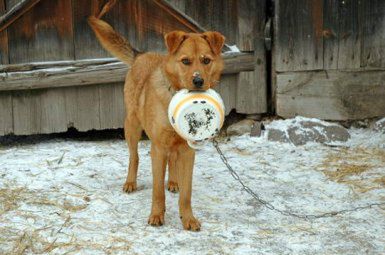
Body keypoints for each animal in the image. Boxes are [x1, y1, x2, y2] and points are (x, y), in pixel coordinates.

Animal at [88, 13, 224, 231]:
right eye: (185, 61)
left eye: (206, 60)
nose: (198, 81)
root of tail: (141, 55)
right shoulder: (158, 148)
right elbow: (157, 190)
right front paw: (156, 215)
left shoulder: (188, 151)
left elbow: (186, 193)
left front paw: (188, 218)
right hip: (132, 126)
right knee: (134, 157)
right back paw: (130, 182)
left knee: (172, 161)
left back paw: (174, 181)